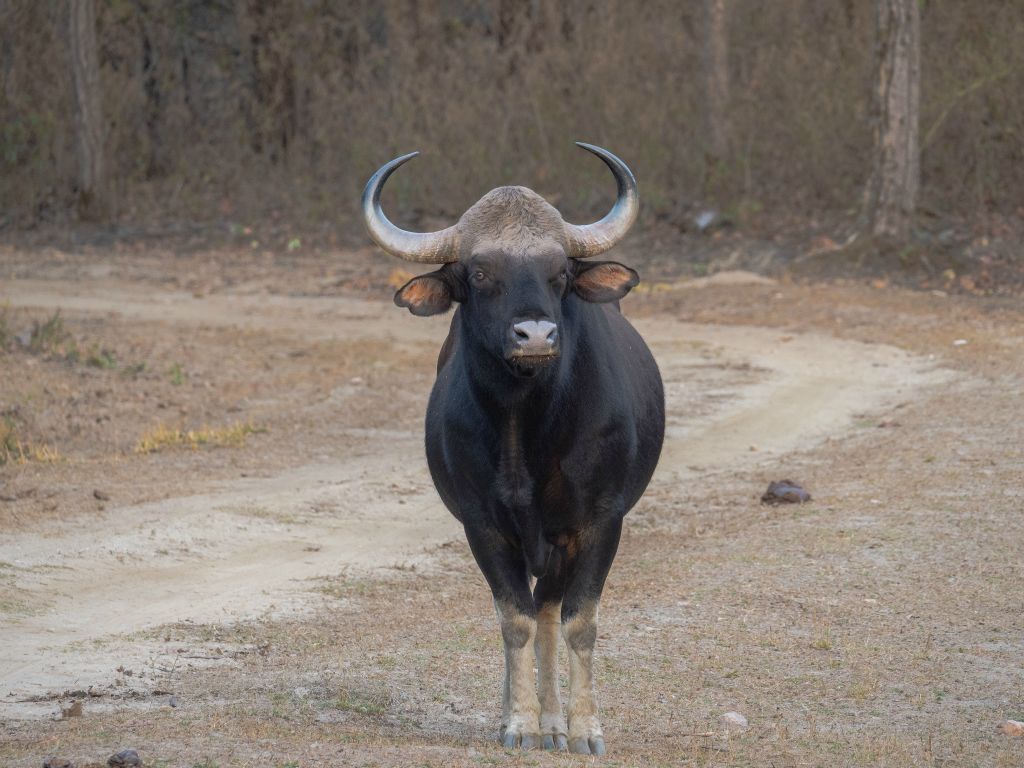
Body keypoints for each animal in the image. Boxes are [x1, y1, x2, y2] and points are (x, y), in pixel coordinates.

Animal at [360, 144, 663, 757]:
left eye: (560, 272)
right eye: (479, 273)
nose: (536, 336)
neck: (528, 433)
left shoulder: (600, 523)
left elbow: (578, 622)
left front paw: (584, 728)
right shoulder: (483, 526)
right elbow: (512, 621)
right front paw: (518, 722)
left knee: (550, 610)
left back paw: (556, 722)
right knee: (529, 612)